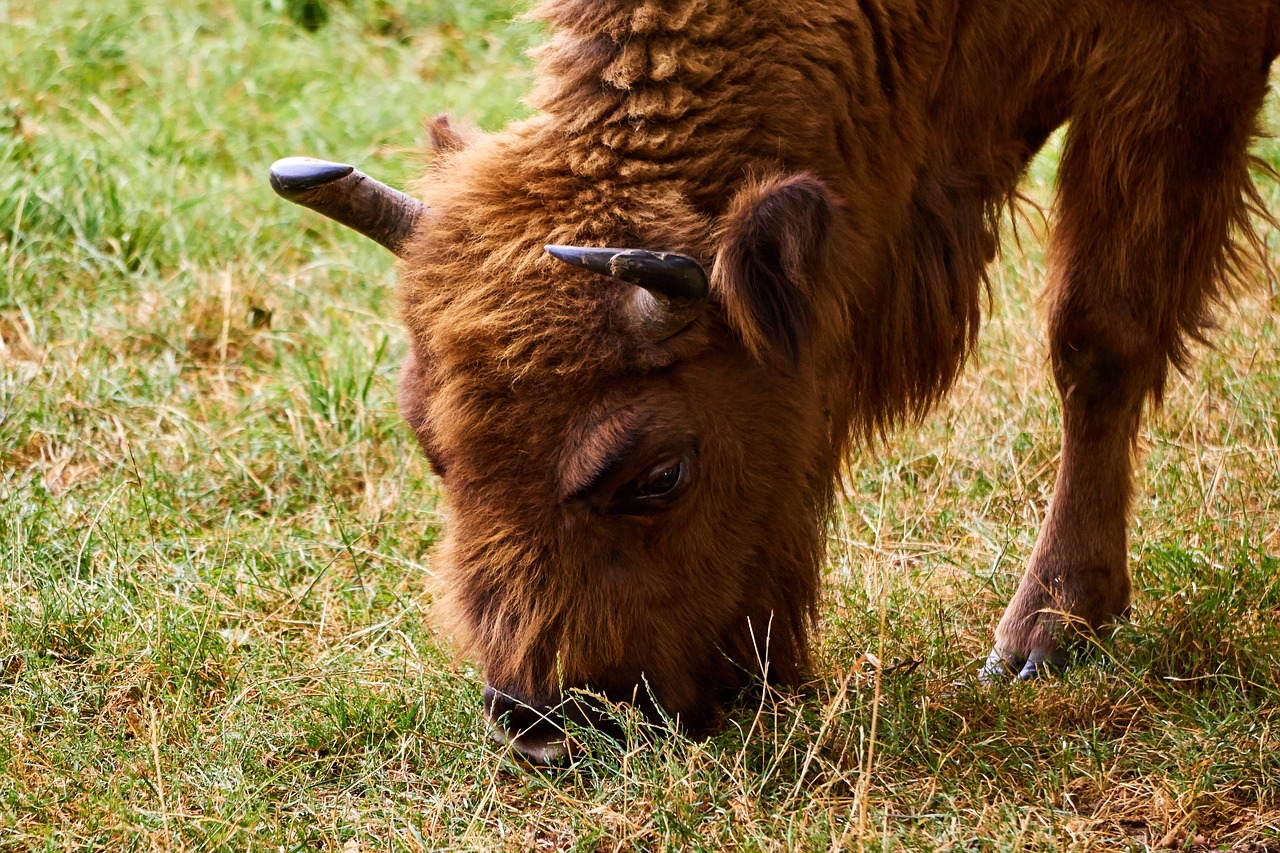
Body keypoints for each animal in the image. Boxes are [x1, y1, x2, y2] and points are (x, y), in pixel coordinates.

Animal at [267, 0, 1280, 758]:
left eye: (660, 473)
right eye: (433, 449)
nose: (546, 724)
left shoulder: (1177, 54)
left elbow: (1098, 332)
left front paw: (1043, 636)